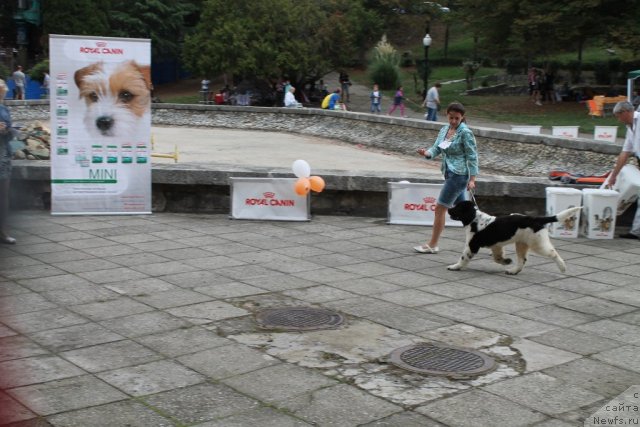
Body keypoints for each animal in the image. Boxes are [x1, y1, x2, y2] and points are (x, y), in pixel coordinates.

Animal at [448, 201, 584, 276]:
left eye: (457, 207)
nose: (448, 208)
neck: (475, 219)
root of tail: (536, 219)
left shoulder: (472, 245)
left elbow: (464, 257)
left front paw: (455, 267)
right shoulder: (496, 246)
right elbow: (497, 258)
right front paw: (507, 261)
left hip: (537, 243)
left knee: (553, 253)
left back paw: (562, 267)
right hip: (522, 244)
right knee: (522, 260)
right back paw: (513, 271)